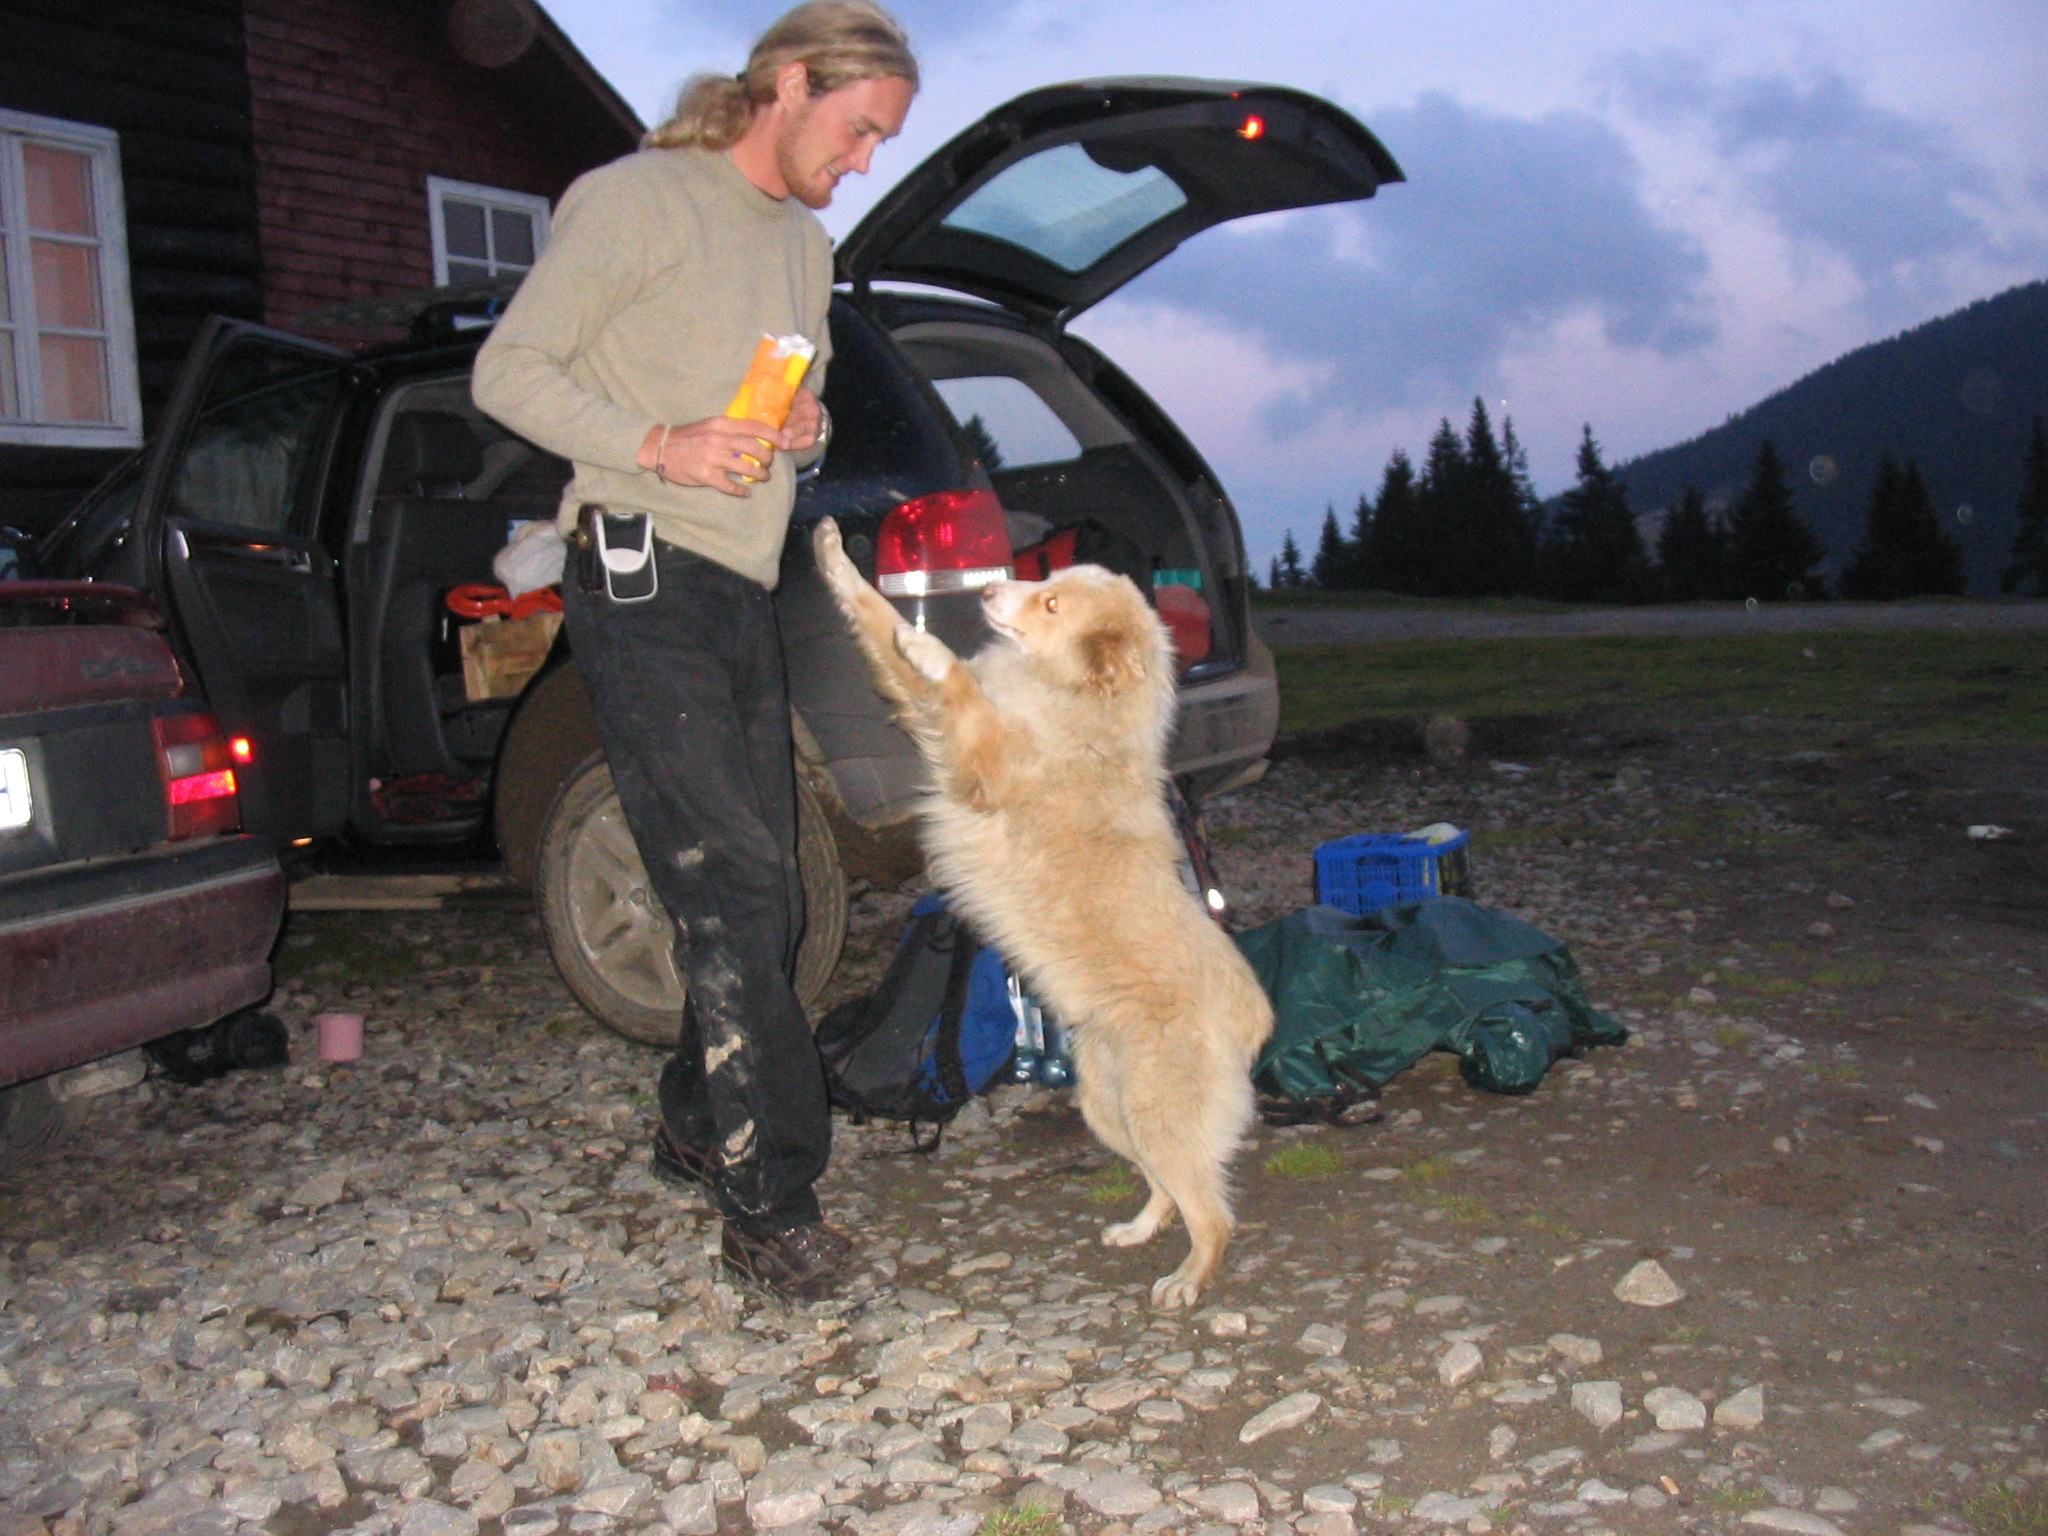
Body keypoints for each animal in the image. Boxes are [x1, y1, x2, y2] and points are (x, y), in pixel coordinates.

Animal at [811, 517, 1274, 1308]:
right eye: (1046, 579)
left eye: (1053, 603)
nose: (987, 589)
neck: (1082, 706)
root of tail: (1256, 1019)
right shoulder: (929, 720)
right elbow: (875, 613)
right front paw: (835, 558)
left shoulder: (985, 758)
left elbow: (957, 682)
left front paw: (932, 647)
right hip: (1109, 1110)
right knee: (1167, 1192)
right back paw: (1139, 1230)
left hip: (1157, 1116)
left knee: (1213, 1214)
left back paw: (1187, 1281)